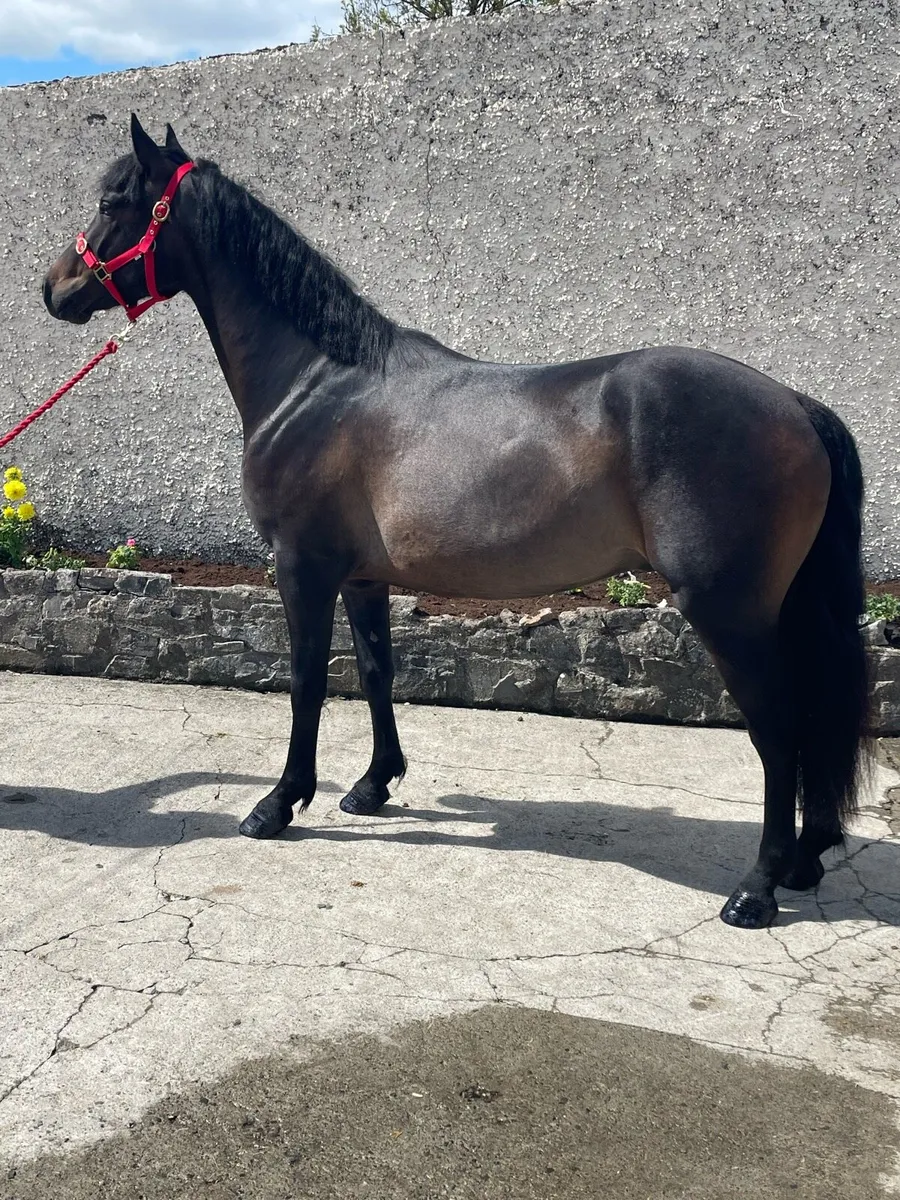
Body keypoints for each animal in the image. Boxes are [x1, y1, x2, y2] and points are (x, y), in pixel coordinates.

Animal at [43, 116, 870, 929]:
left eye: (114, 200)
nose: (55, 288)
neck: (316, 384)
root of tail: (796, 404)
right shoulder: (363, 578)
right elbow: (376, 672)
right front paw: (373, 785)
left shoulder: (300, 568)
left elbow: (306, 681)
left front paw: (278, 804)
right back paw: (803, 861)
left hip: (728, 610)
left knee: (780, 726)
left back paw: (756, 889)